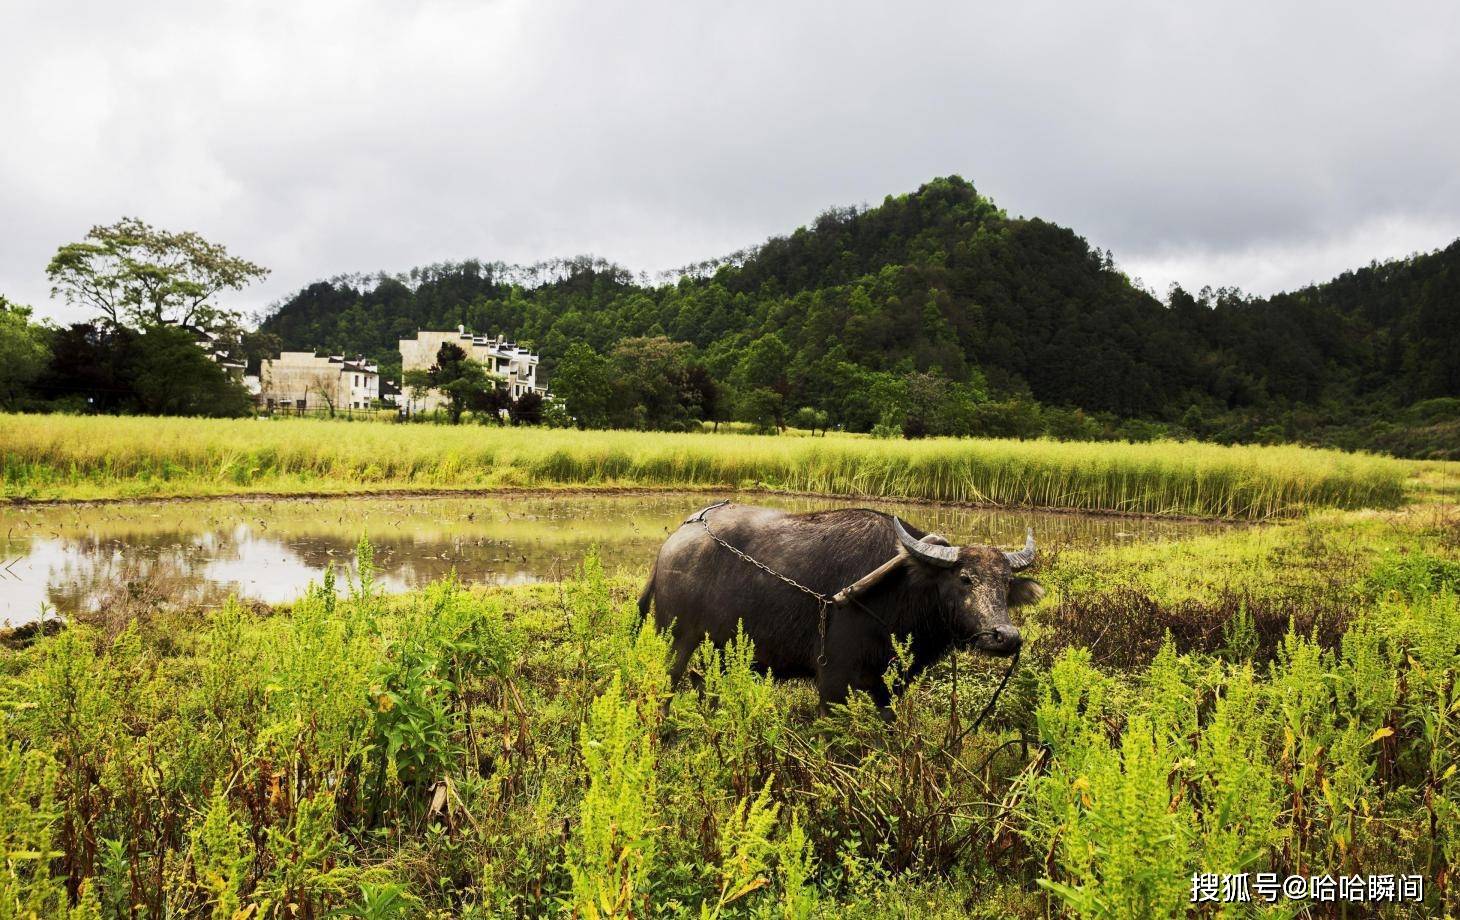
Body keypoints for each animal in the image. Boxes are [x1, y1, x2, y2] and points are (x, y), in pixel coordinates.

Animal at [636, 505, 1039, 712]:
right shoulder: (832, 680)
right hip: (675, 639)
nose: (1005, 636)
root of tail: (673, 543)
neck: (901, 591)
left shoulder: (886, 688)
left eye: (1006, 583)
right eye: (965, 579)